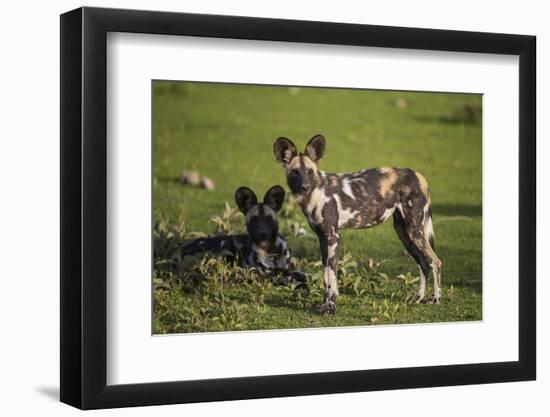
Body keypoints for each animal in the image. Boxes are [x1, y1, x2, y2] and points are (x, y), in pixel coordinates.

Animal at [276, 135, 444, 314]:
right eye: (295, 172)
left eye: (310, 171)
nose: (305, 187)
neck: (315, 194)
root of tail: (419, 176)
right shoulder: (322, 239)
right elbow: (326, 276)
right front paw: (324, 305)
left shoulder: (332, 238)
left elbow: (331, 277)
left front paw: (331, 307)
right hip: (404, 233)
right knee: (424, 264)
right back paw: (417, 298)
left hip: (414, 231)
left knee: (435, 262)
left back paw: (435, 299)